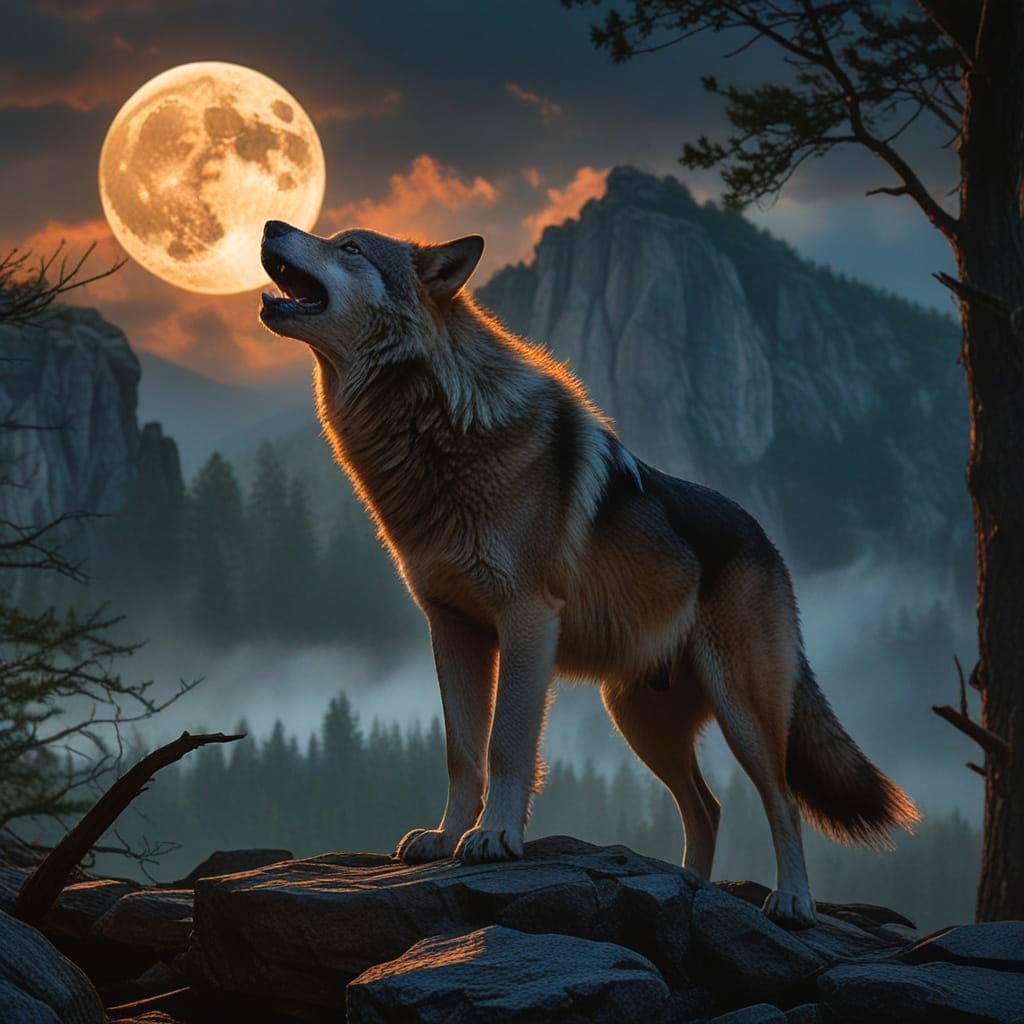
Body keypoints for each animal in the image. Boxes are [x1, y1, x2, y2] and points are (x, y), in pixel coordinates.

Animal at [258, 219, 919, 928]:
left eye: (350, 247)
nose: (270, 225)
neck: (435, 425)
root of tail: (768, 543)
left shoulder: (525, 620)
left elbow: (506, 744)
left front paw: (495, 836)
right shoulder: (452, 628)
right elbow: (462, 752)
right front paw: (444, 837)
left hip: (741, 710)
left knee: (783, 802)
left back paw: (792, 901)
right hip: (638, 719)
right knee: (707, 808)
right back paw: (690, 890)